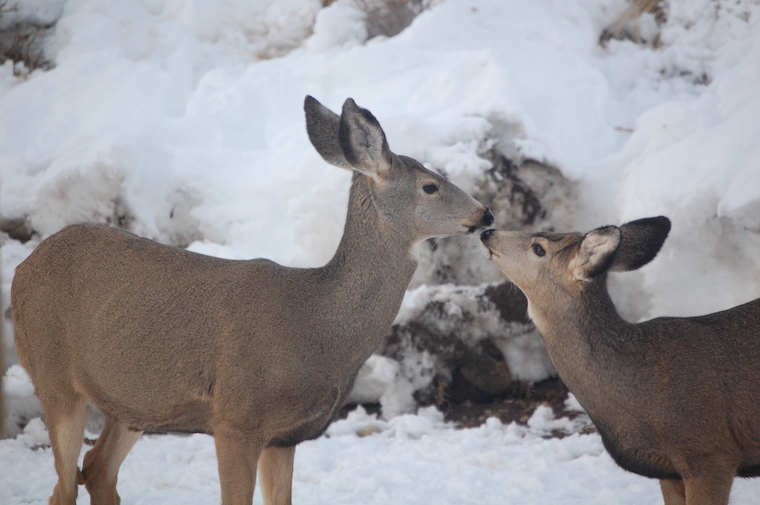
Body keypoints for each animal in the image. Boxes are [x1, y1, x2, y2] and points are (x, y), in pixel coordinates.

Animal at [10, 96, 494, 505]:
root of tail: (22, 268)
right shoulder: (235, 418)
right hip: (51, 370)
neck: (316, 324)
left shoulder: (285, 436)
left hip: (135, 400)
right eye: (430, 186)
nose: (485, 213)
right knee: (65, 484)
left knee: (96, 469)